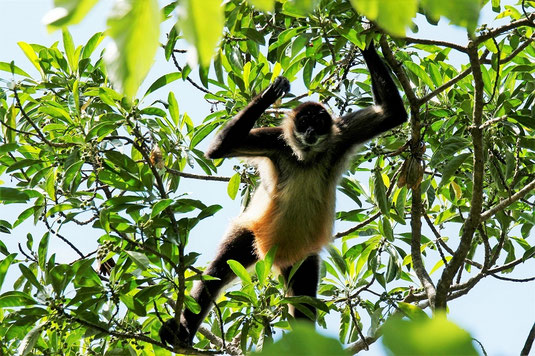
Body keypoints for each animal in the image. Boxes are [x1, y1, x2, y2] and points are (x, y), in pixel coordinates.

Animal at [161, 41, 408, 344]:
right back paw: (181, 332)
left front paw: (368, 39)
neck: (305, 156)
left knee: (304, 307)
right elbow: (217, 149)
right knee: (219, 270)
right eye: (303, 122)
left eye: (319, 123)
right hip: (251, 235)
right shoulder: (277, 141)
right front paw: (271, 92)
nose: (311, 130)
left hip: (303, 261)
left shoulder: (340, 137)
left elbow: (393, 113)